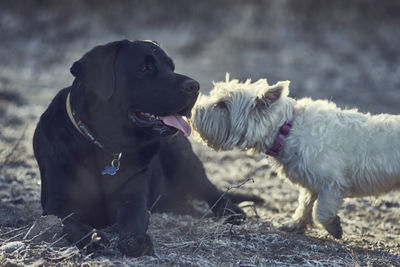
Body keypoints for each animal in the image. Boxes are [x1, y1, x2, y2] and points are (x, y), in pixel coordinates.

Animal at [32, 39, 260, 258]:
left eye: (171, 67)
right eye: (145, 68)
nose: (194, 86)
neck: (103, 146)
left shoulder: (133, 198)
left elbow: (133, 219)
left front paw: (136, 241)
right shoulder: (56, 205)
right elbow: (68, 223)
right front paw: (92, 239)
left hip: (182, 158)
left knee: (210, 189)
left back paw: (231, 211)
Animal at [191, 75, 400, 239]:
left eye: (223, 105)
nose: (193, 112)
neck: (286, 129)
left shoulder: (332, 184)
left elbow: (320, 211)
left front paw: (334, 228)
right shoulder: (311, 184)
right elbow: (305, 205)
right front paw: (295, 224)